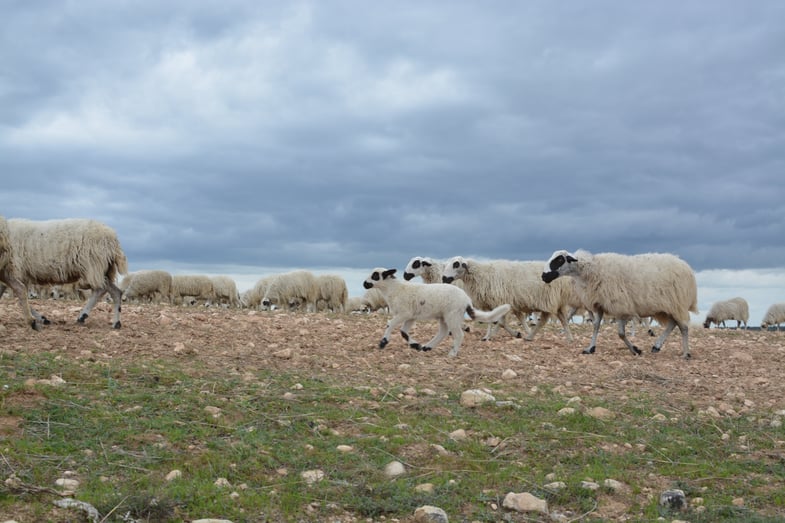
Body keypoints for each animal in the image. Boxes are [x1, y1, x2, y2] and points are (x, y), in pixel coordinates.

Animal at [0, 219, 128, 330]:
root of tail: (112, 238)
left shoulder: (14, 271)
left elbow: (19, 294)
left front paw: (37, 320)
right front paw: (41, 319)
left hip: (93, 266)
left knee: (101, 289)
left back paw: (85, 316)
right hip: (100, 269)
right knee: (114, 291)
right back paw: (113, 322)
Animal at [362, 268, 512, 358]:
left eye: (375, 276)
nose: (364, 283)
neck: (394, 289)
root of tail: (467, 300)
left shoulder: (404, 313)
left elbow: (390, 324)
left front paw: (383, 342)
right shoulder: (410, 316)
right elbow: (403, 332)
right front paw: (416, 345)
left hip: (452, 315)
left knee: (458, 334)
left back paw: (452, 353)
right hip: (443, 316)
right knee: (443, 332)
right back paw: (427, 347)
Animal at [444, 255, 580, 344]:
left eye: (456, 264)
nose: (444, 278)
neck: (481, 274)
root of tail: (564, 278)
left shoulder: (501, 301)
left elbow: (500, 322)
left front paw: (490, 336)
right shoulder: (493, 303)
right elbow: (495, 321)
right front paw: (488, 336)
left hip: (548, 300)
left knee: (544, 320)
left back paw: (530, 336)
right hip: (556, 301)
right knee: (562, 318)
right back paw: (569, 338)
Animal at [540, 251, 700, 358]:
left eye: (559, 259)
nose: (543, 276)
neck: (590, 270)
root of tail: (685, 266)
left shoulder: (621, 307)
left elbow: (621, 333)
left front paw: (635, 349)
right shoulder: (600, 304)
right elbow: (596, 326)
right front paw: (590, 348)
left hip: (677, 303)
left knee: (683, 327)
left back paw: (686, 353)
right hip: (669, 306)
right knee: (673, 323)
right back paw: (657, 346)